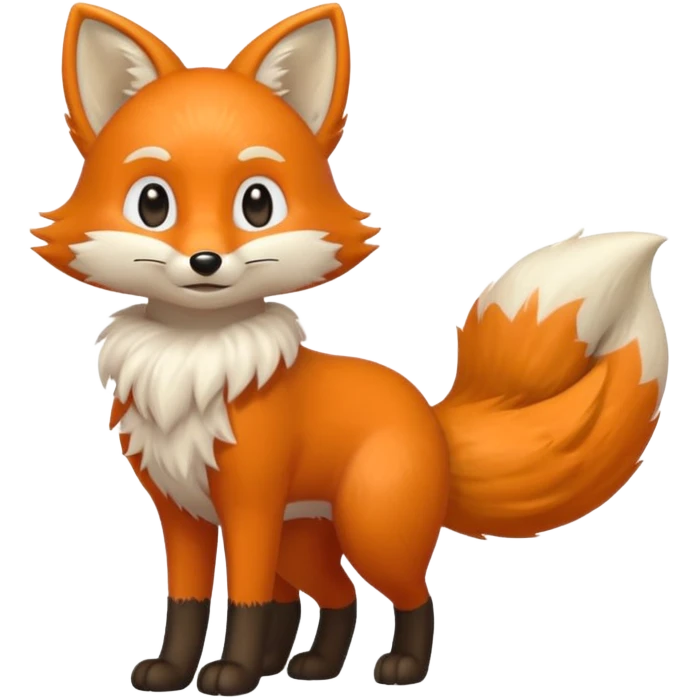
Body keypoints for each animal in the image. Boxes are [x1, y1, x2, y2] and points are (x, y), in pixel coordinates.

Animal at [31, 2, 670, 695]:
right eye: (153, 203)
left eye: (257, 203)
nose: (205, 262)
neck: (194, 362)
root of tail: (429, 417)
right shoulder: (182, 513)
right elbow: (187, 602)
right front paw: (175, 671)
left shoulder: (250, 507)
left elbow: (245, 598)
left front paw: (230, 673)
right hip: (306, 540)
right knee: (335, 599)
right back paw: (306, 665)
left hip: (370, 530)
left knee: (411, 597)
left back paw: (399, 667)